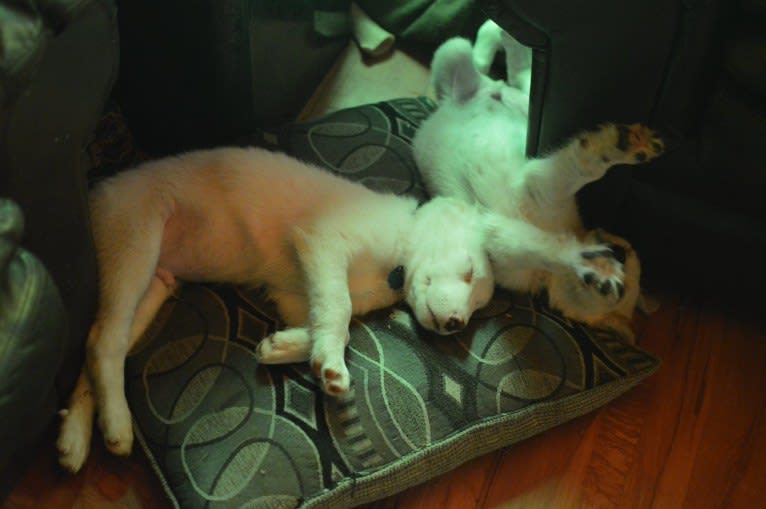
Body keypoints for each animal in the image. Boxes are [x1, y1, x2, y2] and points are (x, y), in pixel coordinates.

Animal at [57, 146, 496, 472]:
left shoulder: (295, 292)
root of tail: (94, 192)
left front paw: (282, 348)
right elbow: (340, 312)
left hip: (154, 285)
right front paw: (331, 368)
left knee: (96, 345)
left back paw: (75, 437)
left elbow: (329, 323)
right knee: (105, 340)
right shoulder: (323, 242)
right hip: (135, 247)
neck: (394, 266)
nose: (455, 324)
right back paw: (117, 422)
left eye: (478, 306)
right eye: (469, 271)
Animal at [414, 24, 664, 342]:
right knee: (517, 72)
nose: (615, 251)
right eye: (624, 250)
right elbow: (585, 168)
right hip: (468, 63)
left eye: (614, 293)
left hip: (454, 57)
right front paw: (621, 145)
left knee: (500, 67)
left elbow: (539, 247)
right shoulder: (541, 186)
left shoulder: (506, 236)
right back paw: (504, 42)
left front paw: (590, 263)